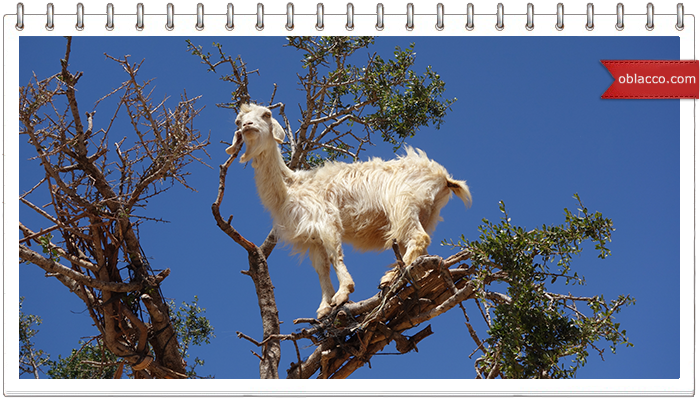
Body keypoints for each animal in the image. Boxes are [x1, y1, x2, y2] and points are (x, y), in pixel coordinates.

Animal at [227, 103, 471, 318]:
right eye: (238, 121)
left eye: (266, 114)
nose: (247, 125)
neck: (290, 187)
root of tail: (444, 178)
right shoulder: (312, 238)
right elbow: (321, 269)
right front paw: (324, 308)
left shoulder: (326, 220)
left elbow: (335, 255)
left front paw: (343, 294)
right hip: (425, 214)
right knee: (416, 245)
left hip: (402, 203)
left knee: (419, 238)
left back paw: (392, 277)